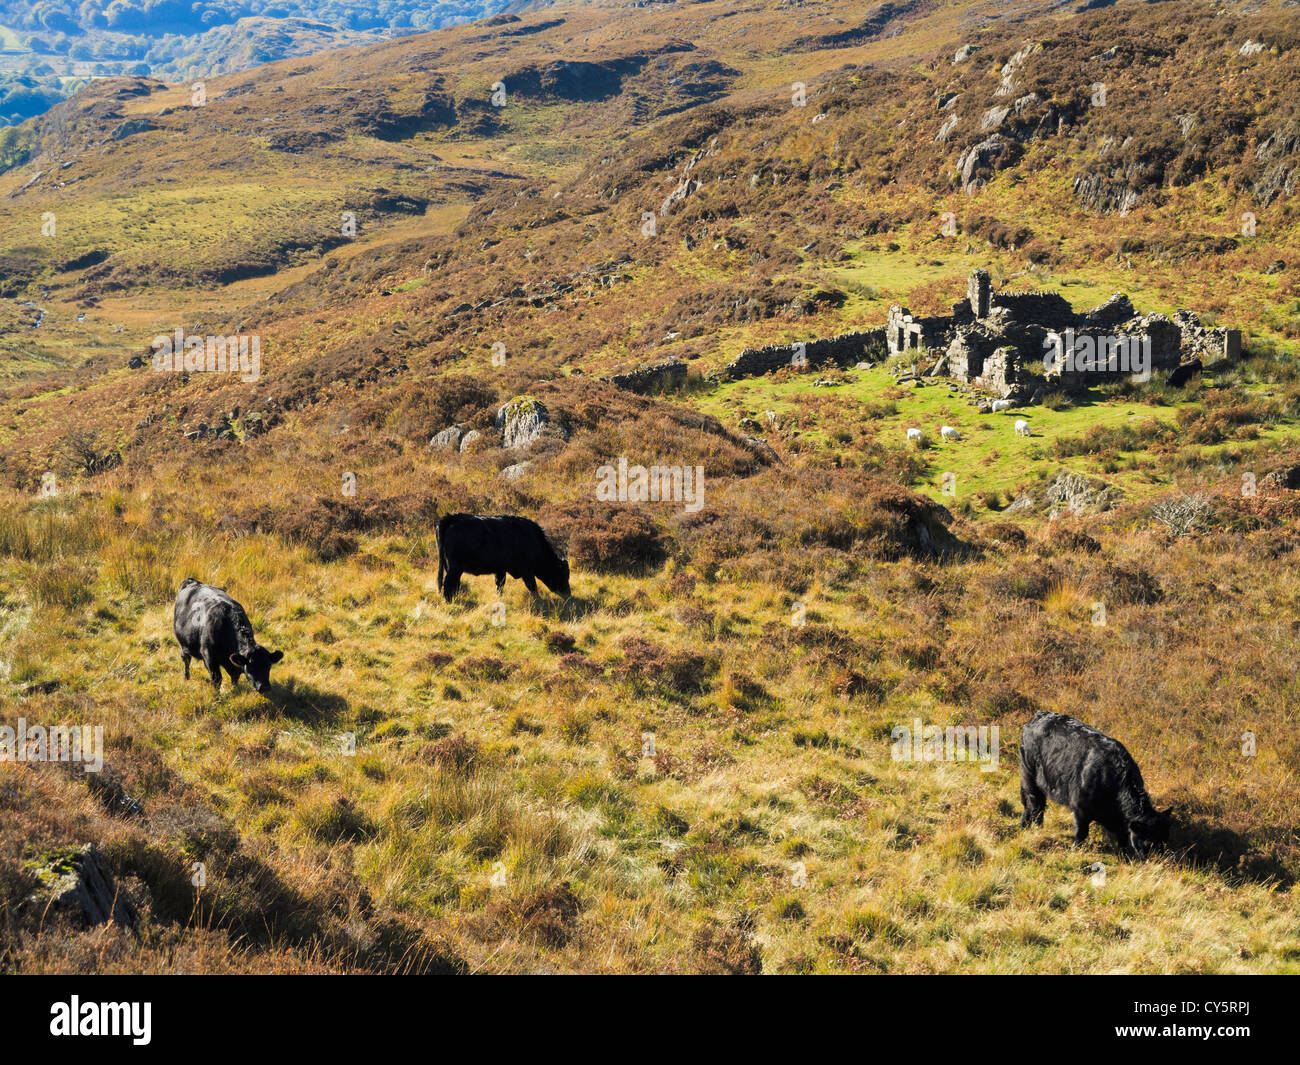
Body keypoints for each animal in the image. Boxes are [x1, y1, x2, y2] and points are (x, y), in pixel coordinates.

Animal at [436, 514, 569, 603]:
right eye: (562, 575)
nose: (568, 594)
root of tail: (453, 517)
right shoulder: (527, 571)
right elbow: (532, 587)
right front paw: (539, 600)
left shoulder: (500, 570)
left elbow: (500, 585)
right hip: (455, 567)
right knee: (448, 583)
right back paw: (450, 602)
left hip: (451, 567)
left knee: (454, 584)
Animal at [1019, 712, 1175, 863]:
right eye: (1149, 843)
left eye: (1165, 839)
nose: (1159, 862)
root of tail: (1036, 717)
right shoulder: (1080, 809)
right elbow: (1081, 834)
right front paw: (1075, 851)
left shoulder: (1121, 824)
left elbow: (1123, 841)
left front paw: (1124, 859)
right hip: (1029, 775)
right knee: (1035, 805)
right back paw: (1036, 829)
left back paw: (1023, 826)